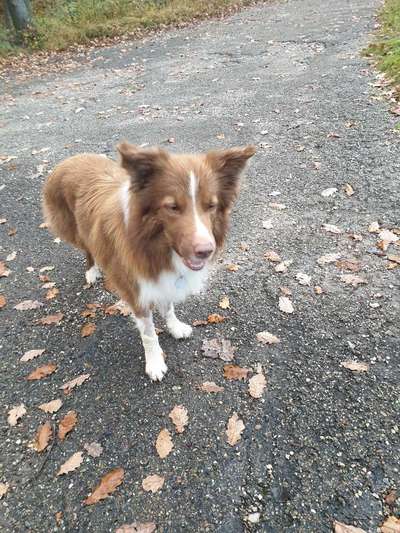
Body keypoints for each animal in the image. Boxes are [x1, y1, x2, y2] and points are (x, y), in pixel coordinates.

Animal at [43, 141, 256, 380]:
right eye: (172, 207)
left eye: (211, 205)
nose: (206, 251)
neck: (155, 245)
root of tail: (69, 159)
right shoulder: (136, 293)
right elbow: (149, 334)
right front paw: (154, 363)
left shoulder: (164, 280)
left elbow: (169, 307)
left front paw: (175, 328)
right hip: (73, 229)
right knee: (87, 249)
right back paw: (91, 271)